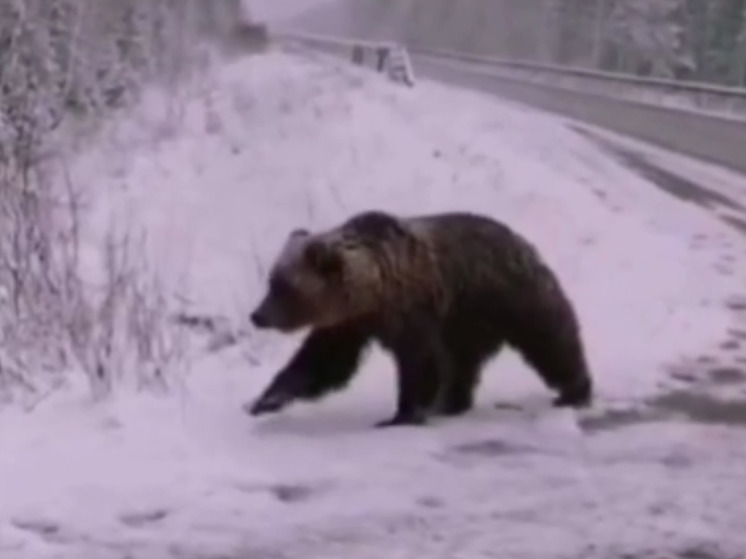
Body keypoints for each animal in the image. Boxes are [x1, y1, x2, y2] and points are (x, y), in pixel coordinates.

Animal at [247, 210, 588, 428]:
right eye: (272, 280)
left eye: (283, 287)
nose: (257, 316)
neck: (372, 292)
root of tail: (522, 241)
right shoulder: (350, 324)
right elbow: (322, 362)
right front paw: (265, 399)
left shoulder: (413, 311)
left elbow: (420, 362)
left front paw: (402, 414)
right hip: (466, 322)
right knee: (462, 363)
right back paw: (451, 403)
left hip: (505, 297)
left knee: (550, 338)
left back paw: (575, 391)